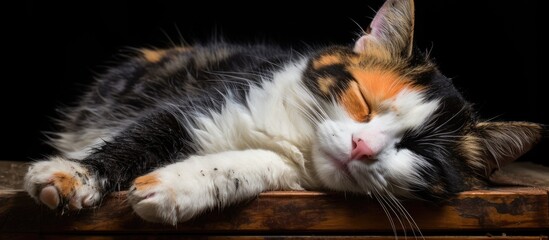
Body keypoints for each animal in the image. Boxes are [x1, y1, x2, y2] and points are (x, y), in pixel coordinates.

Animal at [22, 0, 540, 225]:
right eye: (363, 102)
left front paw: (176, 187)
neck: (297, 136)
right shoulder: (207, 102)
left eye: (419, 153)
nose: (361, 146)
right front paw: (72, 176)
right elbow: (143, 134)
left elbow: (247, 166)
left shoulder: (290, 169)